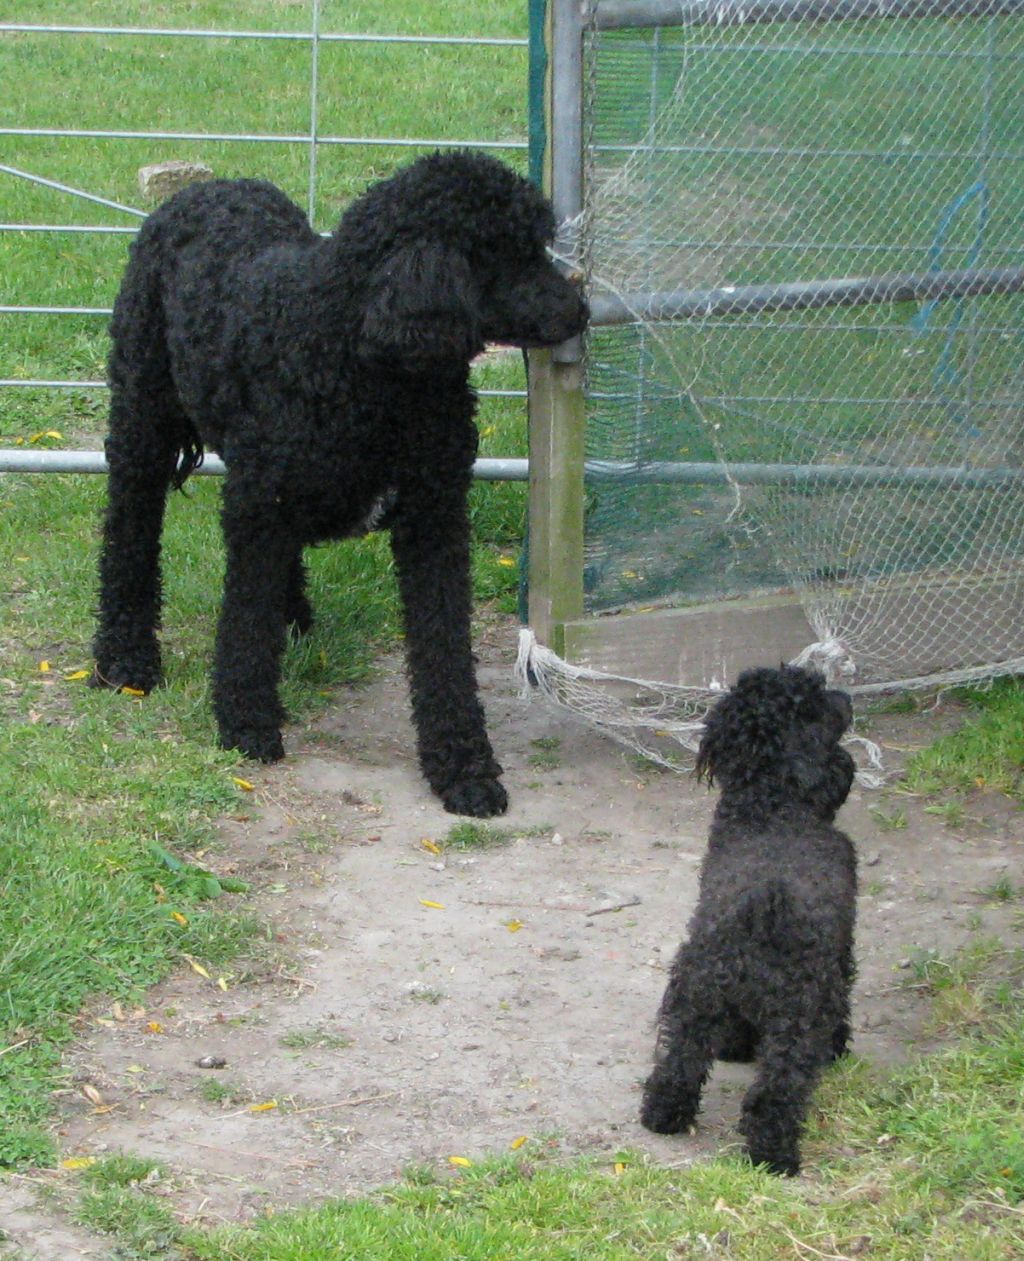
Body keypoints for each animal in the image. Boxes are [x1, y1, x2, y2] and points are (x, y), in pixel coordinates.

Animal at [92, 152, 587, 817]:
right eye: (509, 253)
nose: (580, 311)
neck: (359, 358)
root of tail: (204, 190)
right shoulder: (256, 509)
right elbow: (244, 623)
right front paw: (246, 725)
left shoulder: (434, 517)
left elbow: (444, 647)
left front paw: (464, 767)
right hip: (141, 420)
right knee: (129, 532)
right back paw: (125, 659)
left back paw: (293, 618)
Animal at [640, 665, 857, 1175]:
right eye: (817, 701)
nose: (847, 699)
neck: (770, 809)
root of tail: (764, 907)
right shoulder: (838, 958)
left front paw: (735, 1047)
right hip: (797, 1019)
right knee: (776, 1092)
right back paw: (775, 1155)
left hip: (693, 996)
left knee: (678, 1064)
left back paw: (663, 1116)